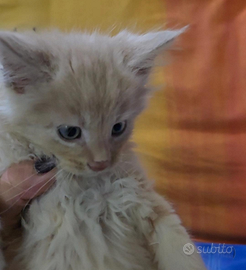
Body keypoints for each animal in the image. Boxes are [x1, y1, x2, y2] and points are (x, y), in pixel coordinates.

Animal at [0, 29, 206, 270]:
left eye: (118, 128)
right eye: (69, 132)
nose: (101, 163)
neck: (83, 188)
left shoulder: (145, 200)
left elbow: (180, 249)